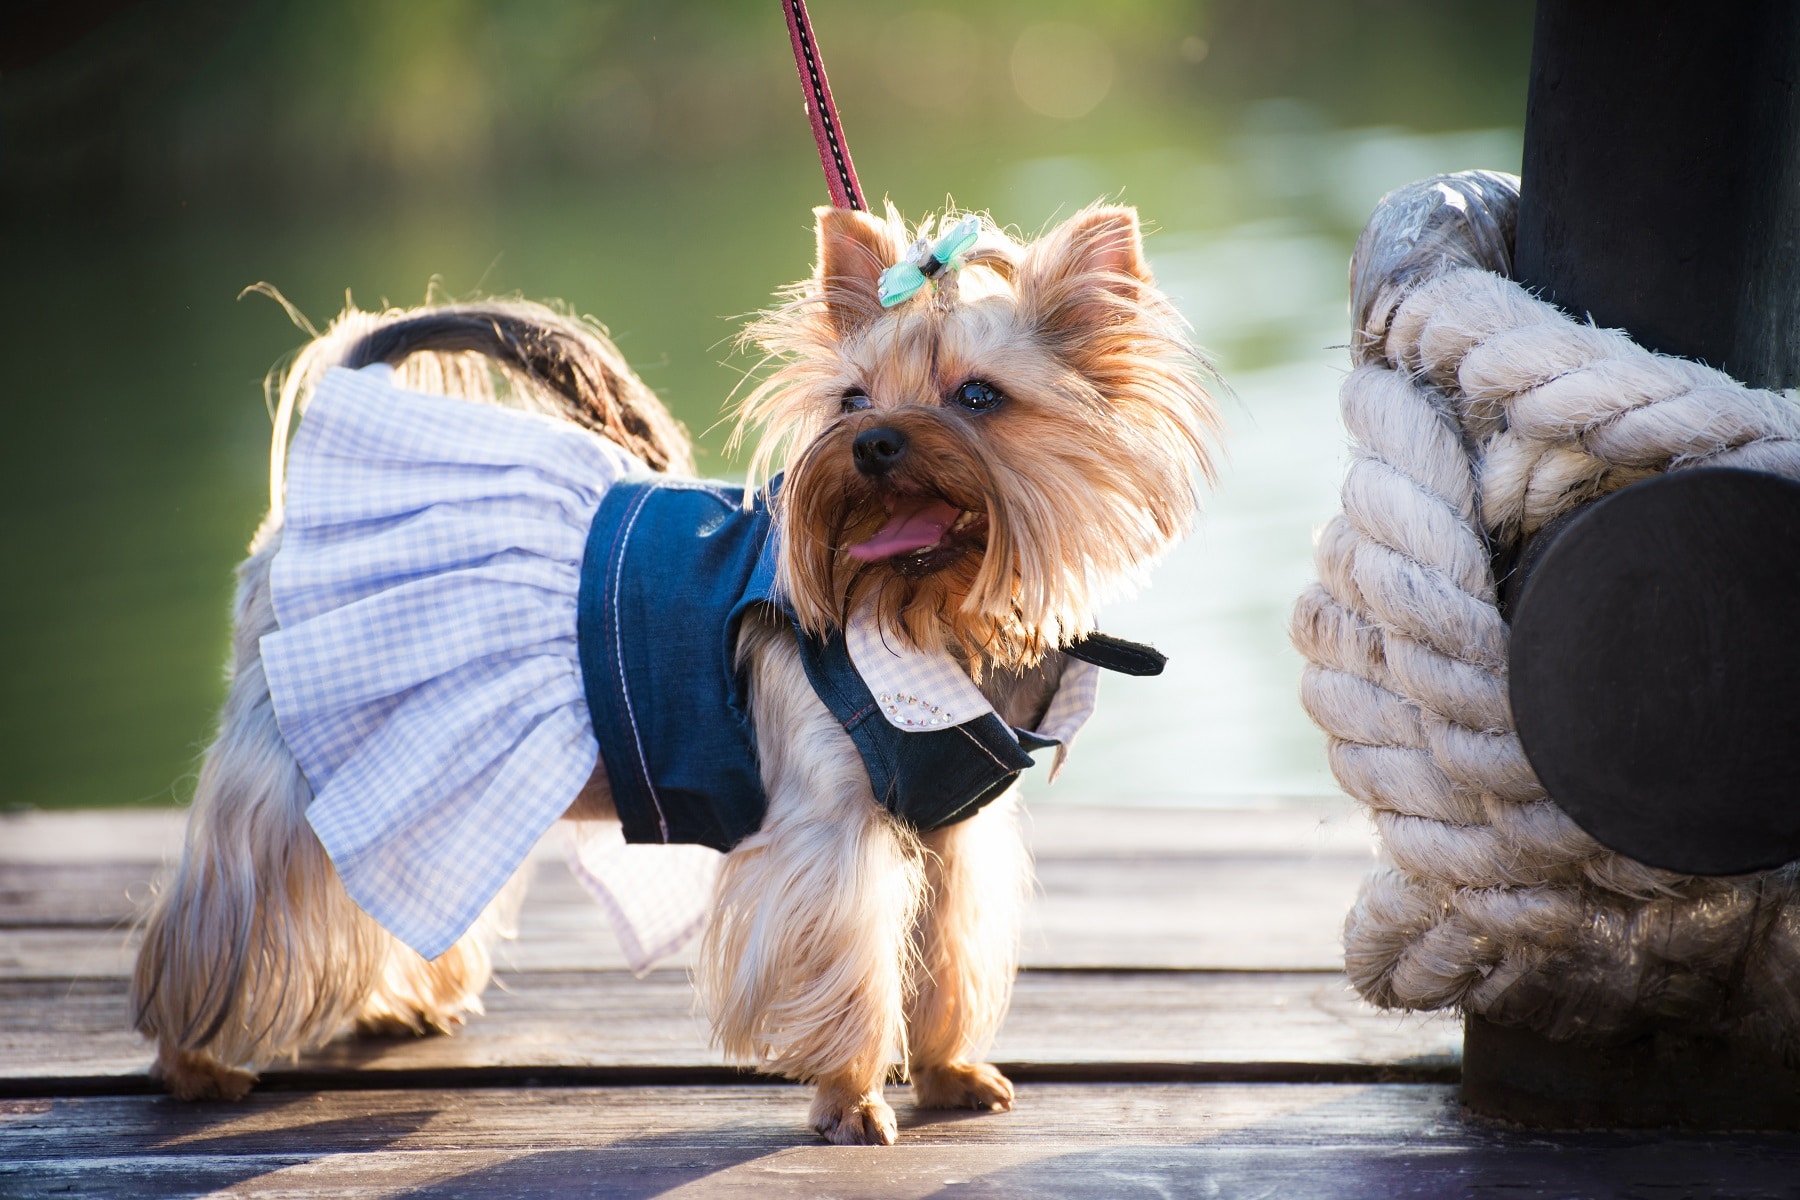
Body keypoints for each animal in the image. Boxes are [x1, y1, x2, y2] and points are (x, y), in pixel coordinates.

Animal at [133, 204, 1216, 1144]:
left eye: (980, 396)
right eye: (852, 399)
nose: (872, 444)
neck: (930, 618)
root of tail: (320, 485)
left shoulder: (952, 833)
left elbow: (945, 953)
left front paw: (949, 1072)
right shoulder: (828, 827)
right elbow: (851, 961)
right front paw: (850, 1103)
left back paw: (393, 1008)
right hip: (296, 752)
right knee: (244, 895)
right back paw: (196, 1060)